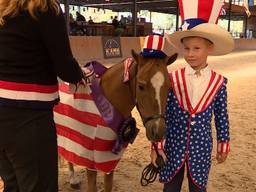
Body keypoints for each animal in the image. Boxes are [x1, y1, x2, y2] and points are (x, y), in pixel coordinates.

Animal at [54, 50, 177, 191]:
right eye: (140, 86)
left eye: (169, 87)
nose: (158, 131)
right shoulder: (90, 159)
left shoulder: (108, 160)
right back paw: (73, 179)